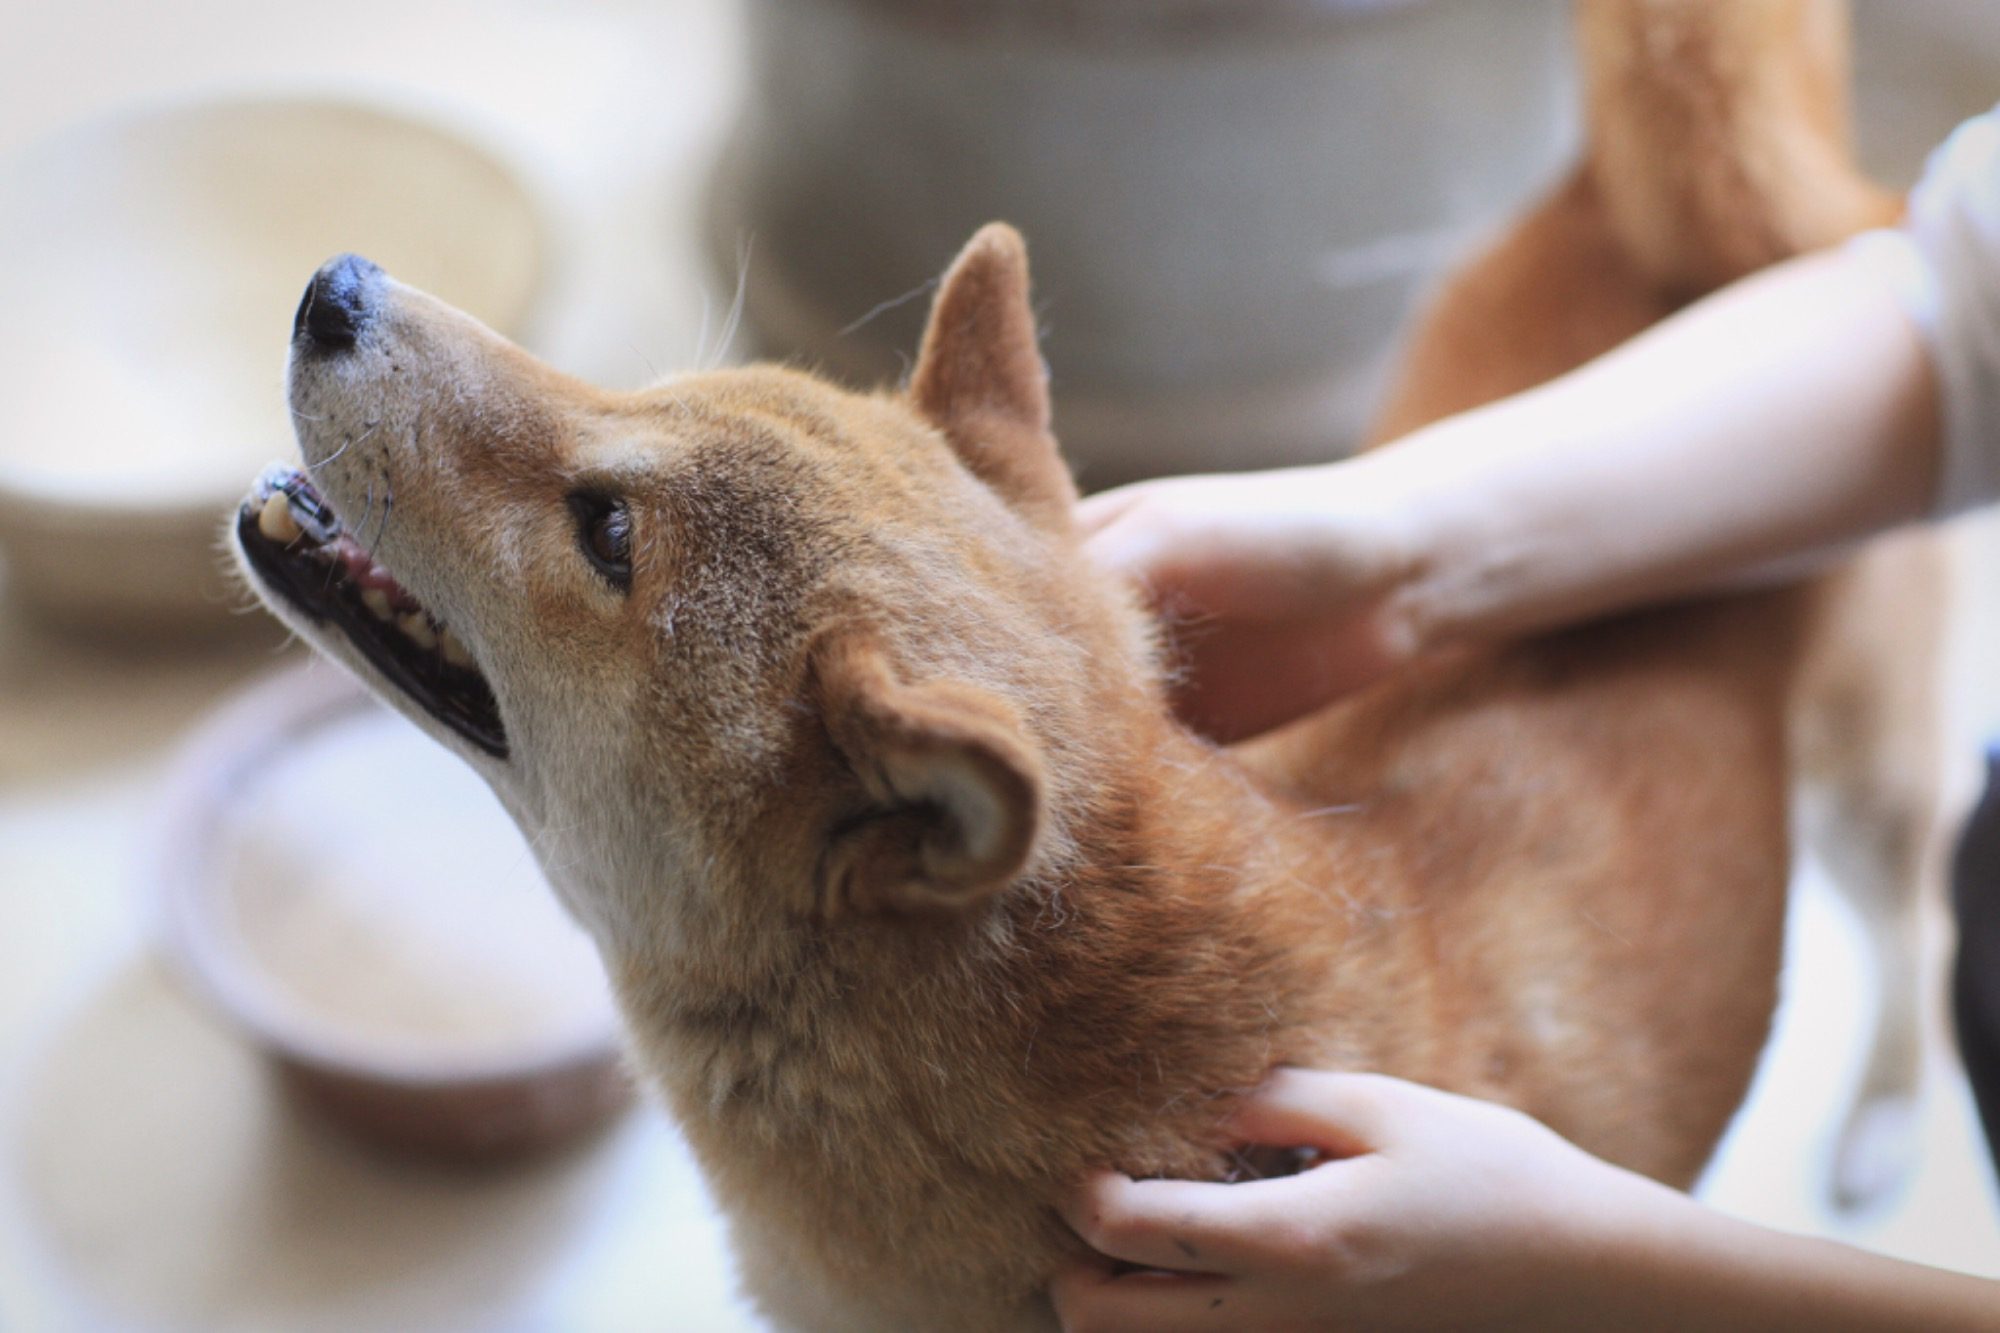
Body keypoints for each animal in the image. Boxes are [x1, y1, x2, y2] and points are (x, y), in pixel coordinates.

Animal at [233, 0, 1937, 1325]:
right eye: (641, 396)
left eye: (604, 530)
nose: (335, 287)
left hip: (1868, 794)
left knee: (1912, 925)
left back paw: (1891, 1115)